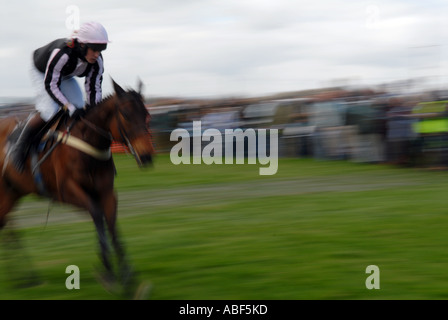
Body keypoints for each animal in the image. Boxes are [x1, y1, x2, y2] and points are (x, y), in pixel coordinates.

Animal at [0, 79, 156, 294]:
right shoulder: (67, 191)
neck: (87, 141)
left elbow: (112, 227)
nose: (146, 156)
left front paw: (127, 277)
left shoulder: (107, 192)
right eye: (125, 114)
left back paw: (26, 278)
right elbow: (98, 217)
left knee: (7, 227)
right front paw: (107, 273)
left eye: (146, 114)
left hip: (12, 192)